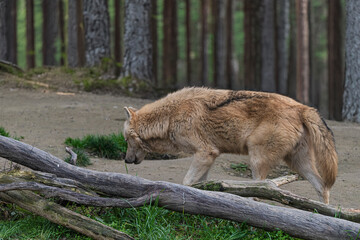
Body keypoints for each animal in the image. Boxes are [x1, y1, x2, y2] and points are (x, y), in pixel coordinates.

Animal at [123, 87, 338, 203]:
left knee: (262, 188)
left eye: (125, 140)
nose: (125, 159)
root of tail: (302, 107)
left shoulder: (205, 153)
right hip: (298, 163)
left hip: (256, 159)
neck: (170, 116)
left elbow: (186, 182)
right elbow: (199, 184)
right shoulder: (209, 157)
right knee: (322, 187)